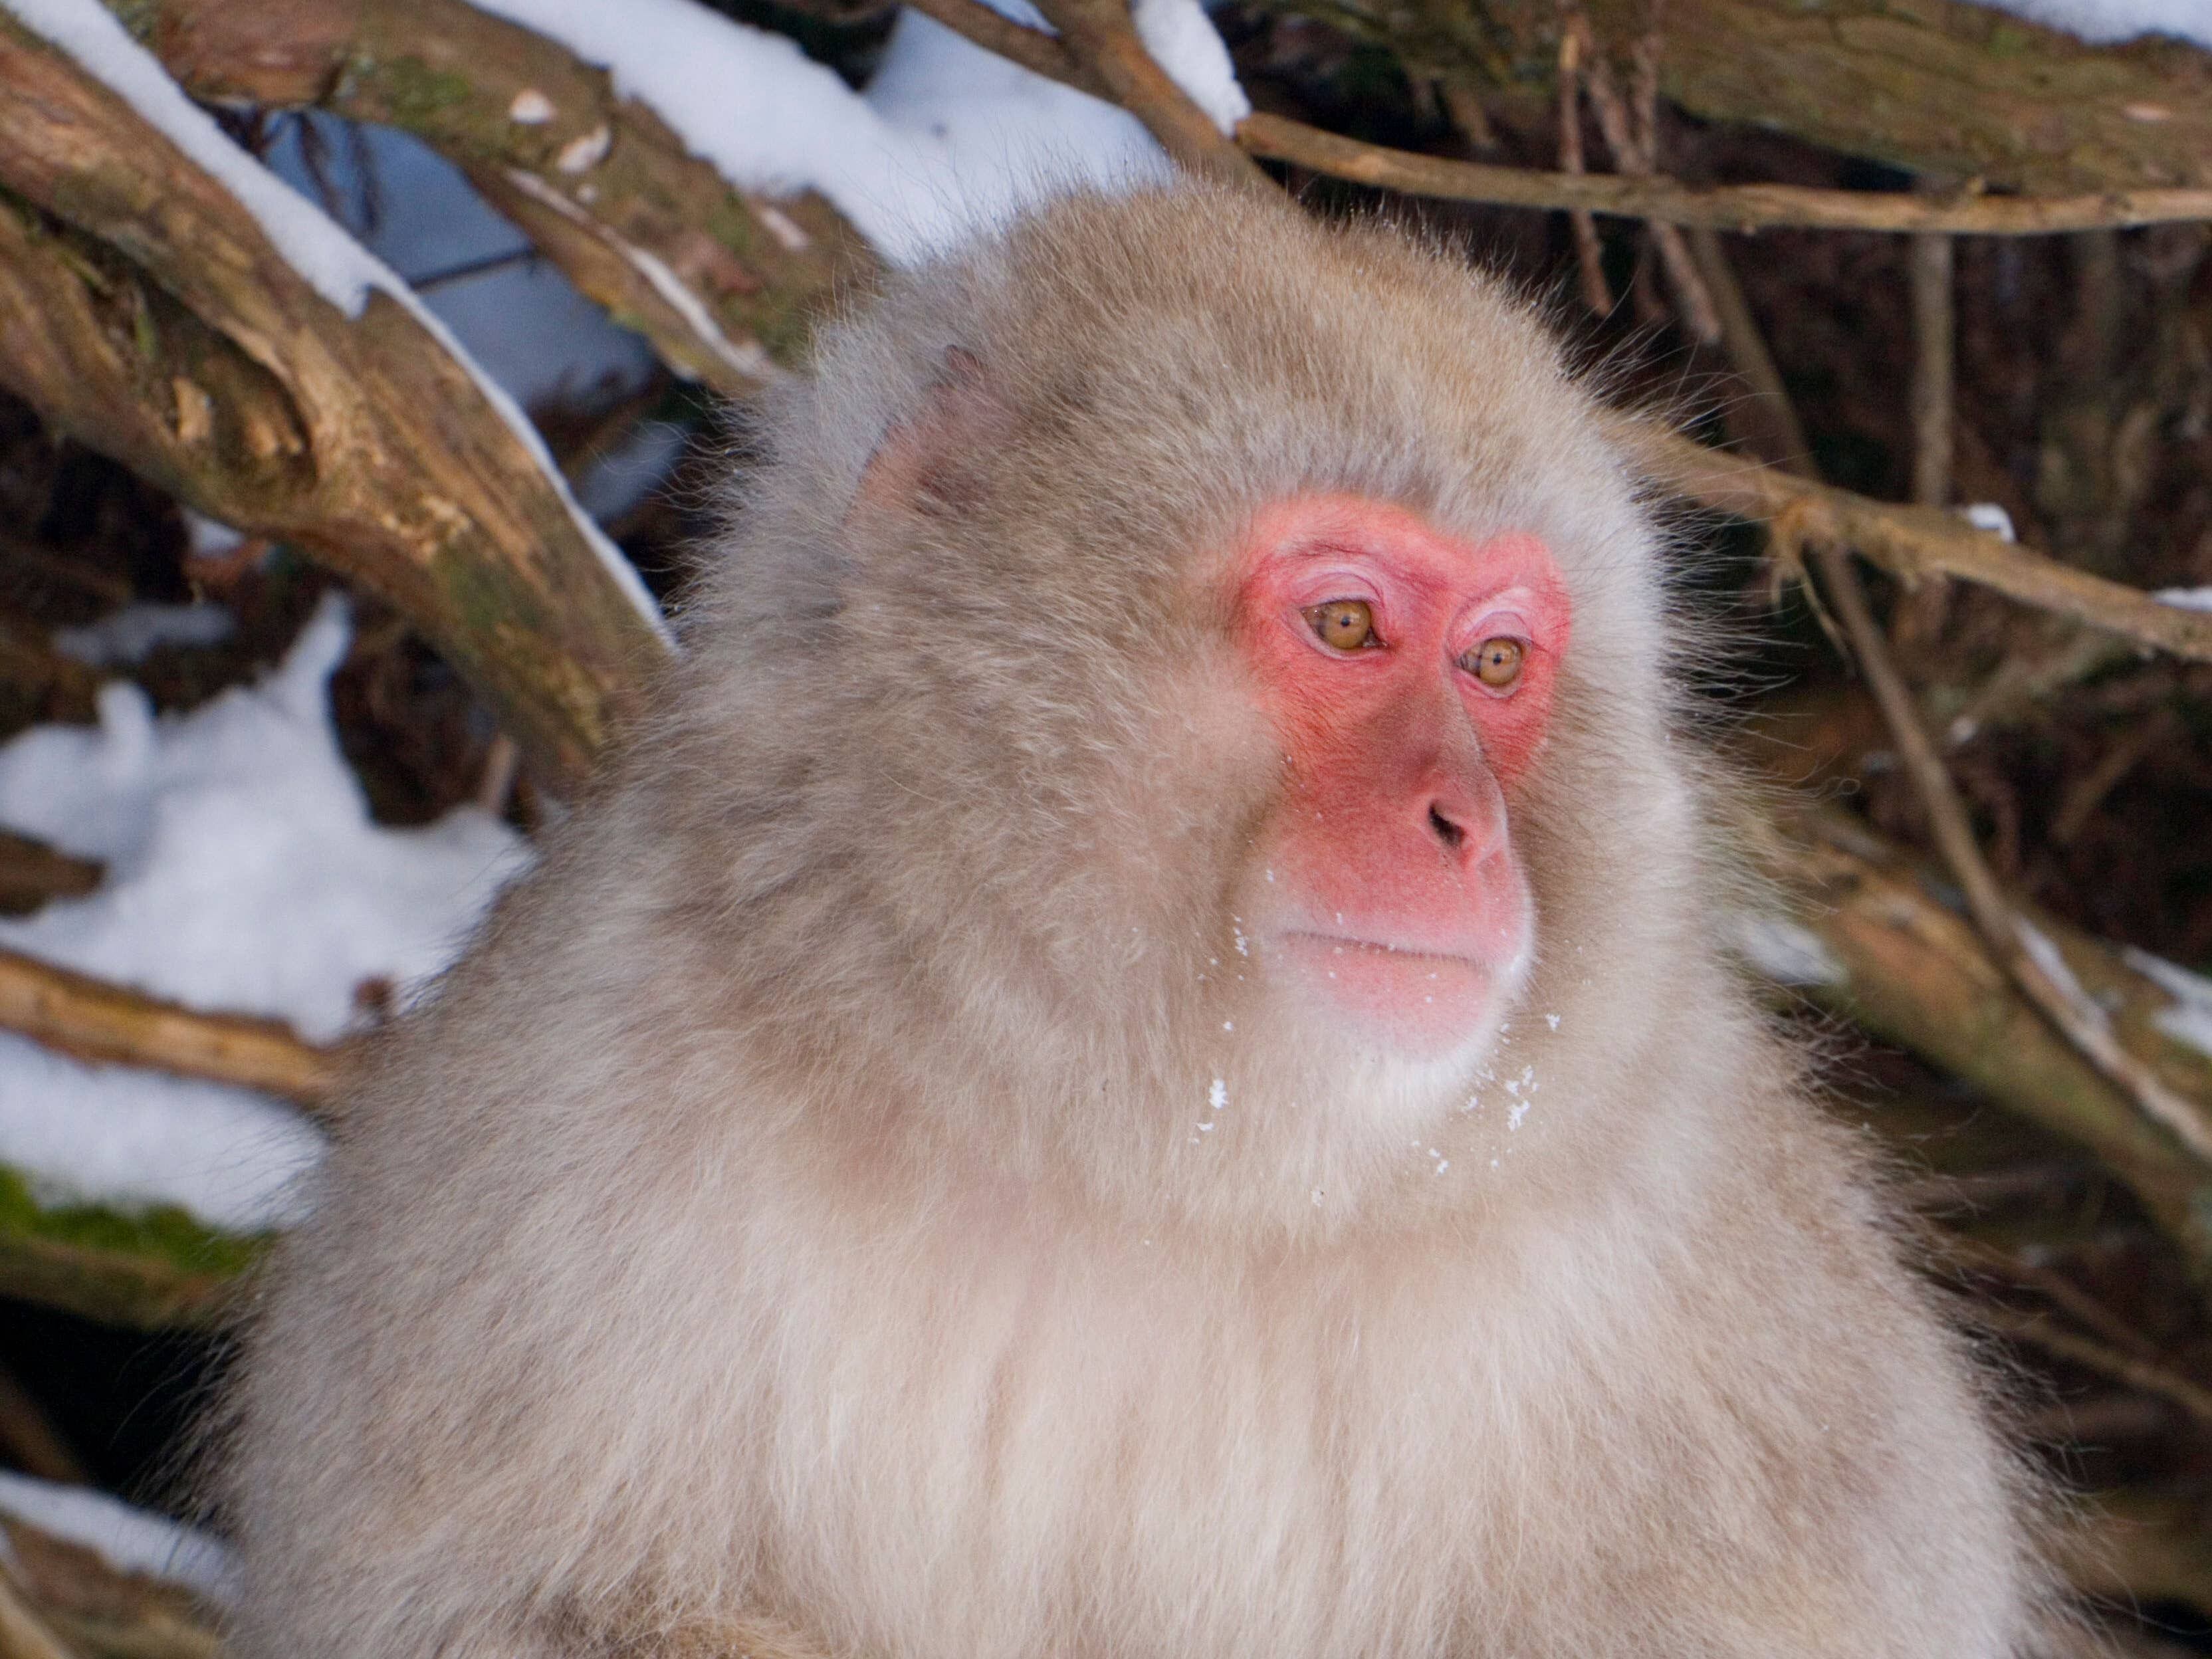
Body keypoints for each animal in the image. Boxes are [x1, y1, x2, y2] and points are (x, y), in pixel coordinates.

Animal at [220, 184, 2052, 1659]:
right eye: (1345, 624)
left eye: (1494, 666)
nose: (1465, 829)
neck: (1156, 1161)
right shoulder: (566, 1104)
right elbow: (491, 1596)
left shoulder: (1695, 1228)